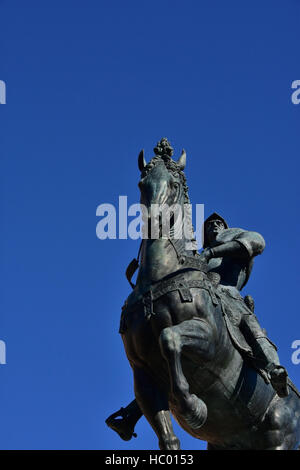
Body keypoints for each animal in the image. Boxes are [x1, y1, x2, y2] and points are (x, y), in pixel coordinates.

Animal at [118, 144, 300, 452]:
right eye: (143, 183)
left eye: (174, 183)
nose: (154, 221)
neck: (159, 279)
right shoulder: (141, 373)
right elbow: (168, 439)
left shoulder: (209, 340)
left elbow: (169, 338)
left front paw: (193, 407)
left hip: (281, 439)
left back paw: (276, 374)